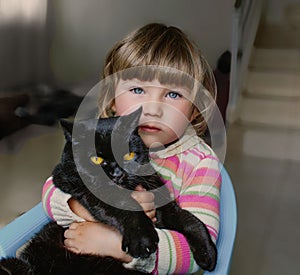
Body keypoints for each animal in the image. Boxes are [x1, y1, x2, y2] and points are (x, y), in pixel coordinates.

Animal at [0, 108, 217, 274]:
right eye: (96, 159)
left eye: (128, 155)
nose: (117, 173)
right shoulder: (81, 186)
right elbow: (126, 206)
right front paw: (143, 238)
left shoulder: (160, 197)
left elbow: (189, 219)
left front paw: (208, 252)